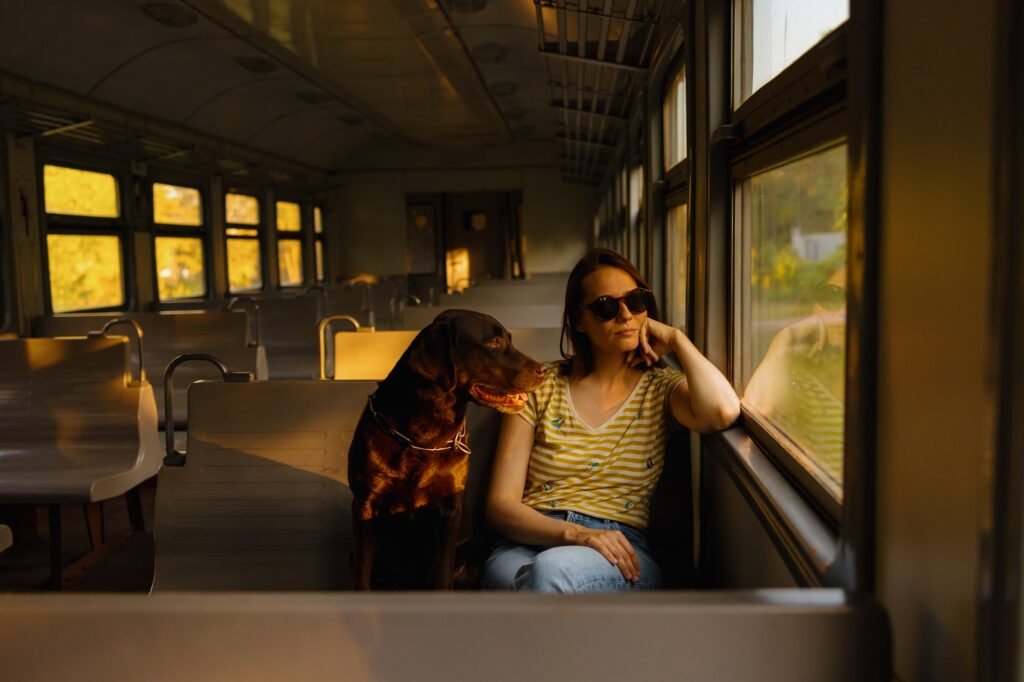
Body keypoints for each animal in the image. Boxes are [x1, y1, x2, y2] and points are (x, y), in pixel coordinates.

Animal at [348, 309, 548, 589]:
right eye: (493, 342)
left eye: (509, 338)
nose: (544, 369)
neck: (422, 438)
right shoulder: (365, 506)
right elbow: (362, 577)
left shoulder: (449, 509)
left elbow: (442, 575)